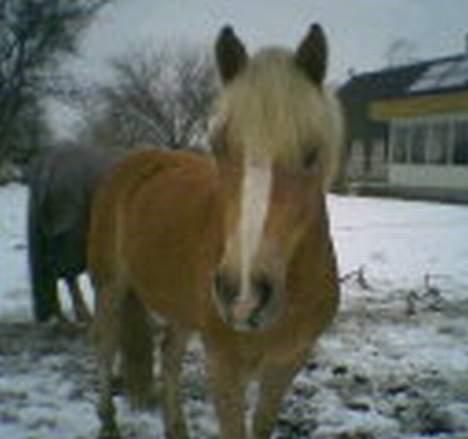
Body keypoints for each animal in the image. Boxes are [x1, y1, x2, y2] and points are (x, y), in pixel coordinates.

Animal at [88, 24, 344, 439]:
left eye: (310, 155)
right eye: (219, 146)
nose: (243, 296)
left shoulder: (286, 364)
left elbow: (262, 426)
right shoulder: (224, 366)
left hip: (179, 307)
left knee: (170, 355)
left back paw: (176, 428)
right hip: (109, 285)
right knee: (105, 346)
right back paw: (108, 423)